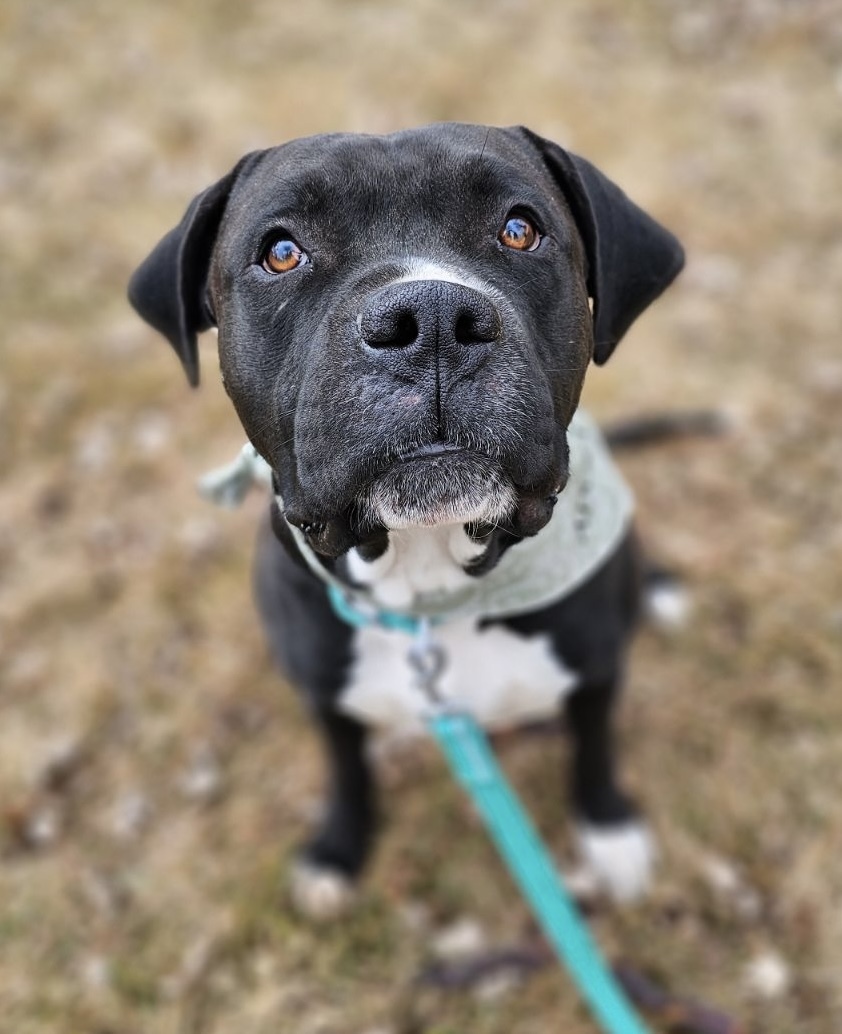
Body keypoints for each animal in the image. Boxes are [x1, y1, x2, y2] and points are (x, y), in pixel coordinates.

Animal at [130, 123, 686, 922]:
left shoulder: (598, 666)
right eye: (281, 250)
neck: (430, 584)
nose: (430, 321)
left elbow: (595, 746)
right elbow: (346, 766)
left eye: (520, 229)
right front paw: (337, 849)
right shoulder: (323, 691)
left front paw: (610, 834)